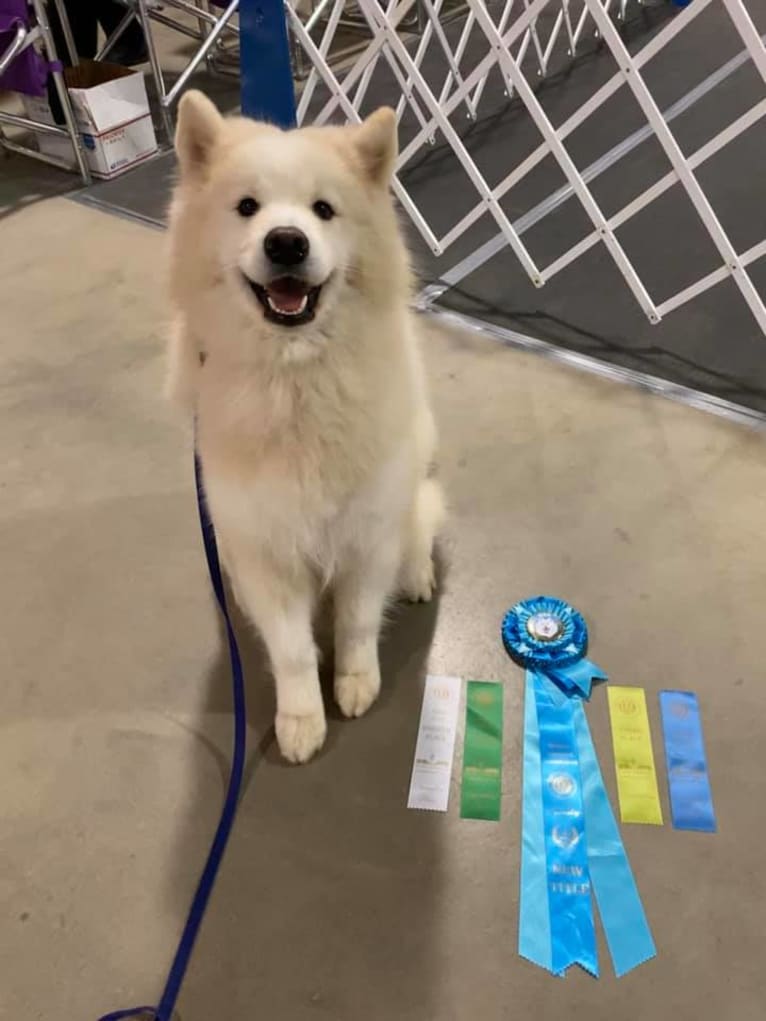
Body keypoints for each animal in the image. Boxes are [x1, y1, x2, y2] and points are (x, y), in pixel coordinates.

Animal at [165, 95, 447, 763]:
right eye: (247, 207)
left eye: (324, 209)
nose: (288, 242)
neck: (295, 380)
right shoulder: (264, 547)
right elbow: (292, 650)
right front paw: (301, 720)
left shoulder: (368, 535)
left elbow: (358, 622)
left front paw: (355, 682)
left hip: (414, 494)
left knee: (421, 528)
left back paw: (417, 576)